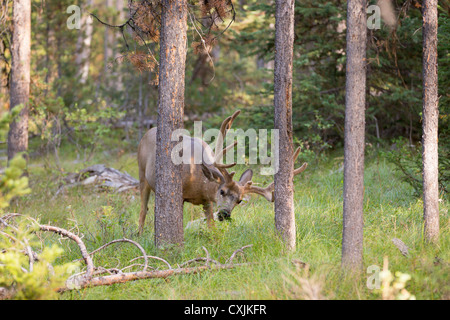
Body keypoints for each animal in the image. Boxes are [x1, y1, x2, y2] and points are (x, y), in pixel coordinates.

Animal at [137, 111, 306, 234]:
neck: (197, 182)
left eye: (239, 200)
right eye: (222, 191)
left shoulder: (206, 200)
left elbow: (211, 225)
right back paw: (139, 233)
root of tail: (149, 130)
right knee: (143, 208)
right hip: (142, 173)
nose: (225, 214)